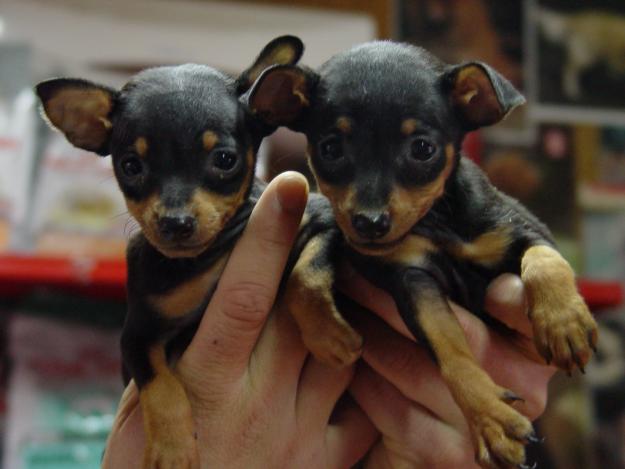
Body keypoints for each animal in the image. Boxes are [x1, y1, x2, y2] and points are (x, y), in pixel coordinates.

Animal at [36, 37, 344, 468]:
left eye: (225, 160)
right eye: (131, 166)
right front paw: (172, 448)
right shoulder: (137, 336)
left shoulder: (320, 220)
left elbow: (307, 276)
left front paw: (330, 335)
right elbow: (161, 385)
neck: (209, 256)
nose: (175, 222)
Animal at [245, 40, 600, 468]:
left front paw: (563, 323)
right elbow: (450, 351)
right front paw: (492, 420)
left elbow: (545, 262)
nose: (369, 222)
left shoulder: (527, 230)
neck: (436, 222)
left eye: (422, 149)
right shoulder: (412, 281)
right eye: (330, 149)